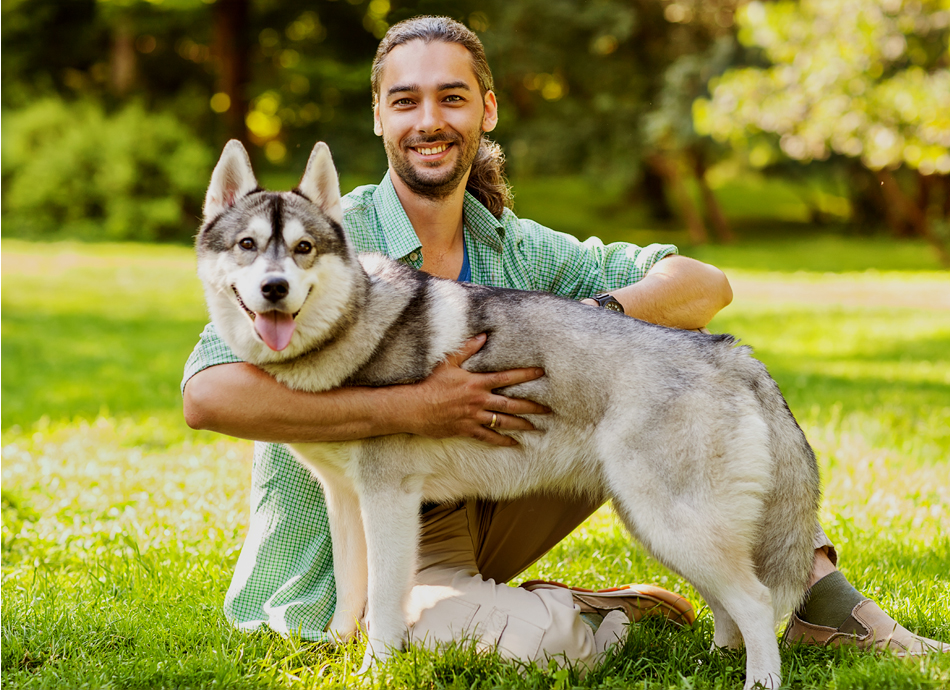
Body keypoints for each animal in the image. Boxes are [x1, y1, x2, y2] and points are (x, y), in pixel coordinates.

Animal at [199, 141, 824, 688]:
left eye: (303, 248)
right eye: (247, 244)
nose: (274, 288)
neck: (355, 326)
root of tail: (730, 352)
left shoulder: (388, 502)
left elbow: (383, 605)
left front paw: (376, 671)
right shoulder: (347, 502)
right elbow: (351, 600)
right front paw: (335, 658)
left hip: (672, 523)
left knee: (756, 601)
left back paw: (760, 680)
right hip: (659, 526)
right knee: (728, 606)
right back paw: (714, 661)